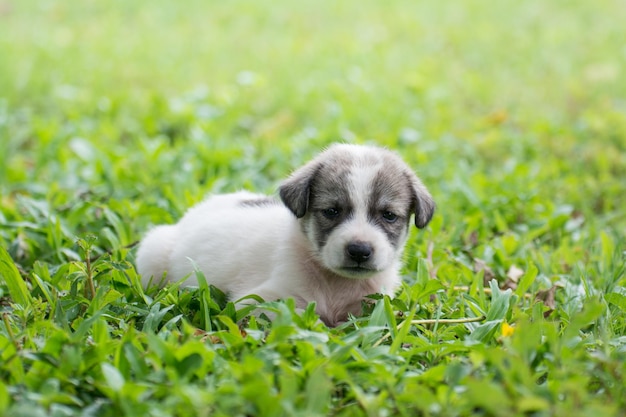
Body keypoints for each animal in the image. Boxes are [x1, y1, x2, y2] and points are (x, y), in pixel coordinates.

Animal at [135, 143, 434, 324]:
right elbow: (300, 314)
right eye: (332, 211)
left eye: (389, 216)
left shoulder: (376, 302)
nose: (359, 250)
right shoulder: (254, 301)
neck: (335, 284)